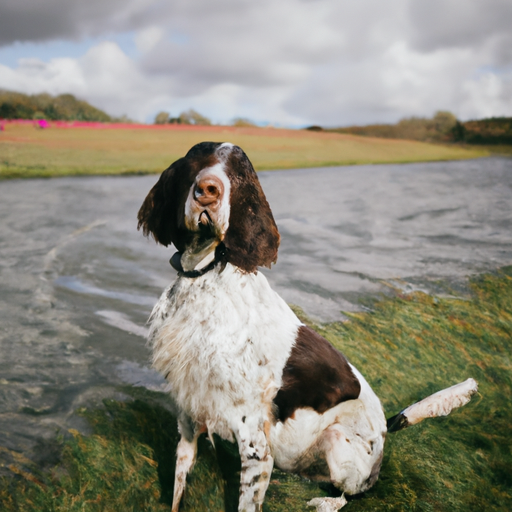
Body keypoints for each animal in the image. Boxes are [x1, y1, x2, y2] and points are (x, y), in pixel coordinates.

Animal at [137, 142, 480, 512]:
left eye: (237, 175)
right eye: (194, 164)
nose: (208, 190)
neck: (203, 277)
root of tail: (387, 430)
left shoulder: (255, 447)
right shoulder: (188, 418)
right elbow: (179, 486)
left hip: (338, 441)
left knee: (350, 493)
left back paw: (324, 501)